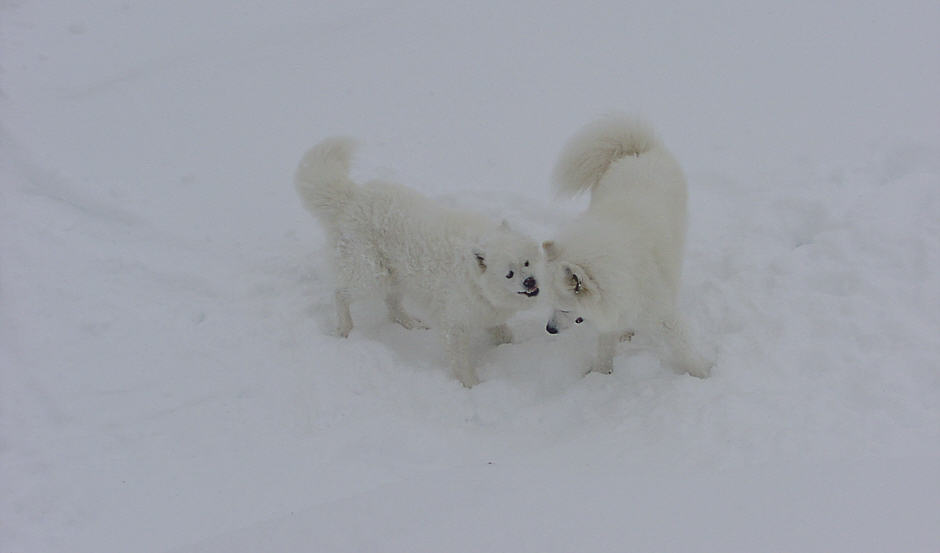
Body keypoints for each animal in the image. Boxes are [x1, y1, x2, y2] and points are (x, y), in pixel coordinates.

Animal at [294, 137, 544, 386]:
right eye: (509, 274)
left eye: (527, 263)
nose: (530, 282)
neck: (475, 278)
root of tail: (352, 198)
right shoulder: (454, 325)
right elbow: (461, 361)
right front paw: (472, 385)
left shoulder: (487, 312)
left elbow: (502, 331)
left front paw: (511, 344)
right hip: (371, 276)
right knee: (340, 294)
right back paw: (345, 329)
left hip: (396, 275)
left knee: (392, 305)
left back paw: (411, 323)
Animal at [544, 114, 712, 378]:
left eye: (564, 308)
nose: (549, 329)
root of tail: (638, 150)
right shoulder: (612, 310)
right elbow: (605, 347)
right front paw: (601, 374)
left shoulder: (661, 313)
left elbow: (682, 345)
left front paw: (701, 372)